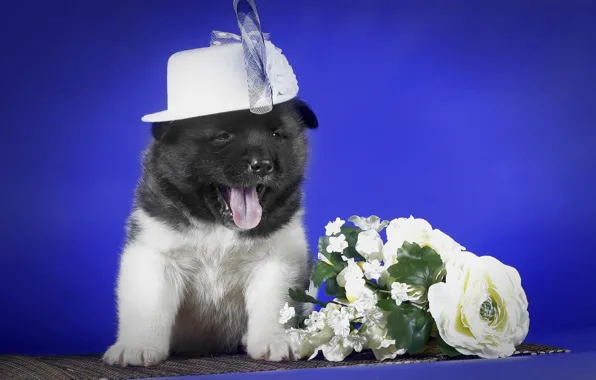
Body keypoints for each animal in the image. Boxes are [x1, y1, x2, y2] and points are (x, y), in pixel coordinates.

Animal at [103, 97, 318, 366]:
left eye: (276, 135)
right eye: (224, 136)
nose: (263, 166)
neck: (217, 227)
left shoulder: (277, 258)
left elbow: (274, 303)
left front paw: (274, 340)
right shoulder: (155, 252)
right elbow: (148, 304)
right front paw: (137, 346)